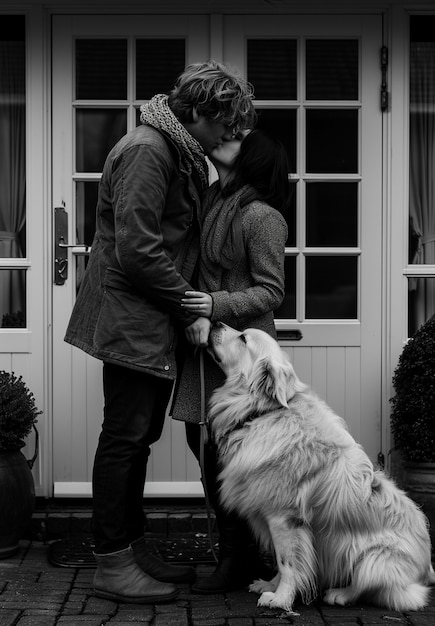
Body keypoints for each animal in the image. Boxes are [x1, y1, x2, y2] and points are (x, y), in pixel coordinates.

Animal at [208, 320, 435, 612]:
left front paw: (281, 598)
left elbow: (288, 563)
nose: (215, 322)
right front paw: (270, 585)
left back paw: (339, 594)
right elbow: (283, 562)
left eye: (244, 338)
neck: (264, 412)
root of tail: (428, 568)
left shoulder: (284, 518)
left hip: (372, 560)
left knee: (372, 588)